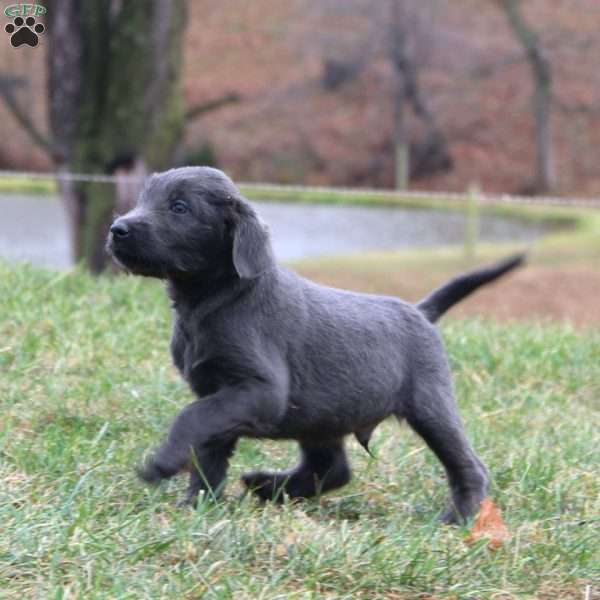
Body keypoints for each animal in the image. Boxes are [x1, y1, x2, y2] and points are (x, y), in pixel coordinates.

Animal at [108, 166, 524, 524]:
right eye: (144, 198)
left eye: (180, 207)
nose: (117, 229)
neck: (215, 300)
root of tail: (421, 311)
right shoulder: (219, 393)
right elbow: (208, 448)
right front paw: (197, 504)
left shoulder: (260, 391)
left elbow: (192, 418)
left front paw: (164, 462)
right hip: (321, 415)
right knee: (332, 469)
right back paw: (268, 486)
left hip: (430, 406)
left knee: (468, 465)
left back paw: (461, 516)